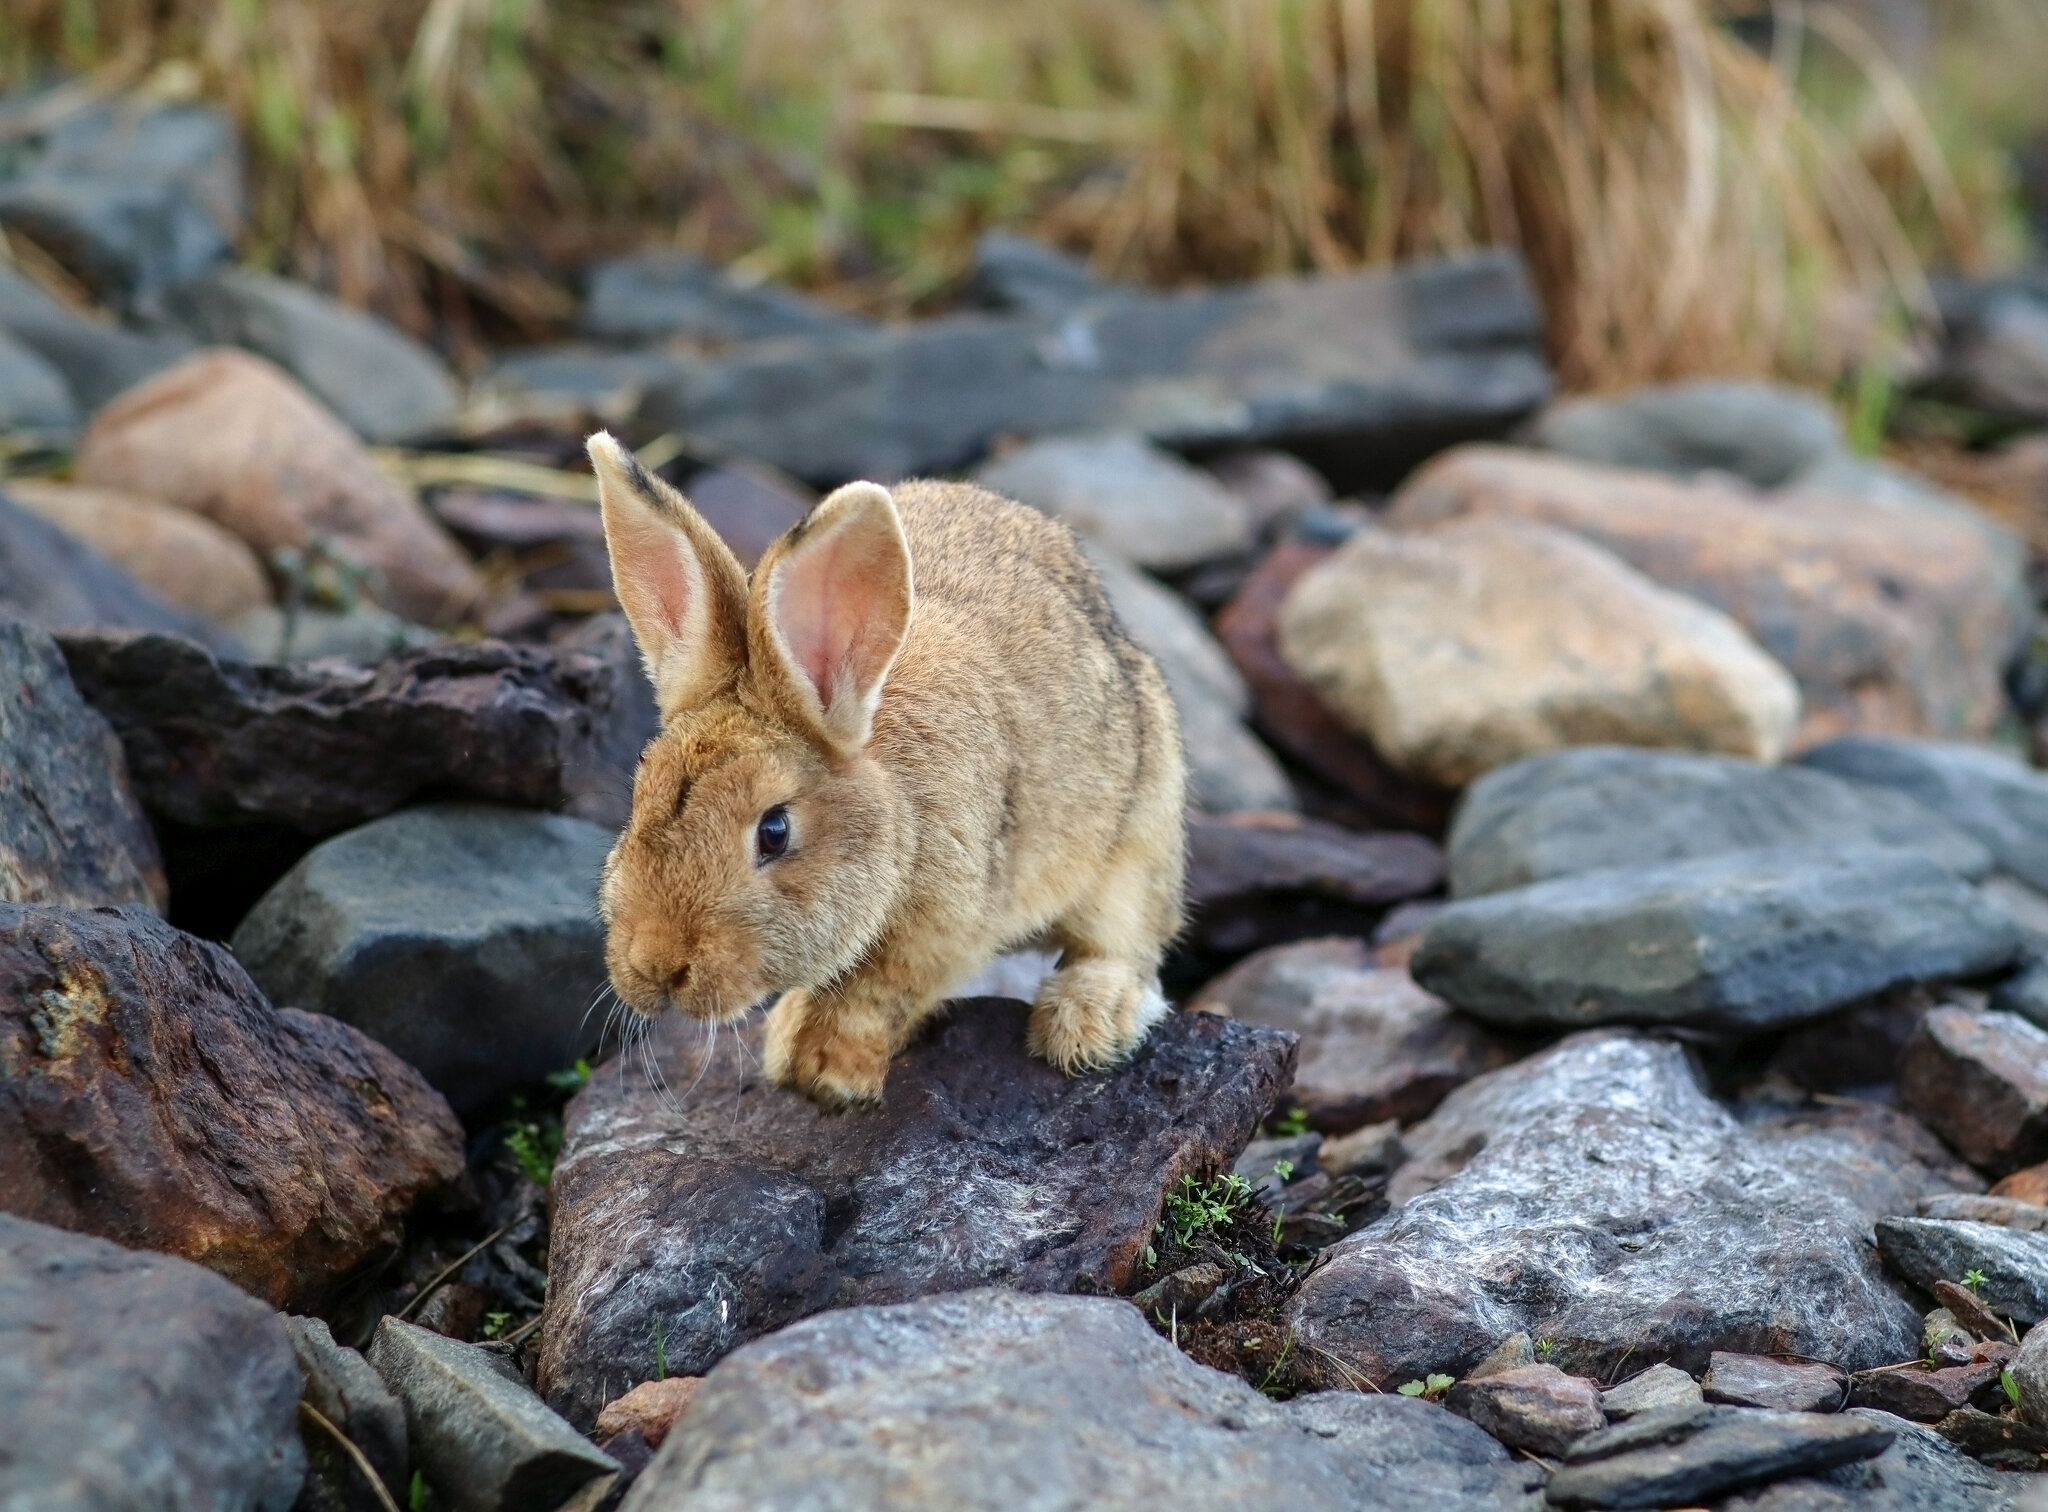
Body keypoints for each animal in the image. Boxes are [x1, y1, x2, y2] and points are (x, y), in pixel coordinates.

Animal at [587, 433, 1187, 1107]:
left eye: (774, 831)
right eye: (639, 798)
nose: (656, 966)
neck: (898, 808)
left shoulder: (944, 926)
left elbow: (879, 993)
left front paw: (830, 1071)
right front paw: (791, 1042)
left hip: (1140, 828)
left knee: (1124, 937)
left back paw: (1087, 1023)